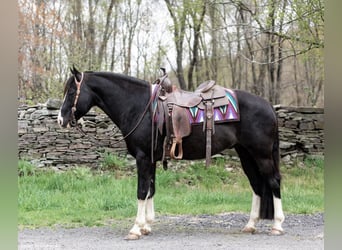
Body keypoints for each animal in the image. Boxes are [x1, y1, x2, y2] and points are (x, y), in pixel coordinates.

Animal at [57, 66, 284, 240]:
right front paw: (147, 226)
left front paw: (135, 229)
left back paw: (277, 225)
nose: (61, 119)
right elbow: (150, 189)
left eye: (71, 92)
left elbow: (141, 191)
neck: (139, 107)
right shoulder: (151, 159)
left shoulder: (143, 158)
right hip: (246, 154)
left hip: (262, 155)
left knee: (273, 182)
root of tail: (268, 106)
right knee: (256, 185)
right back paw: (250, 225)